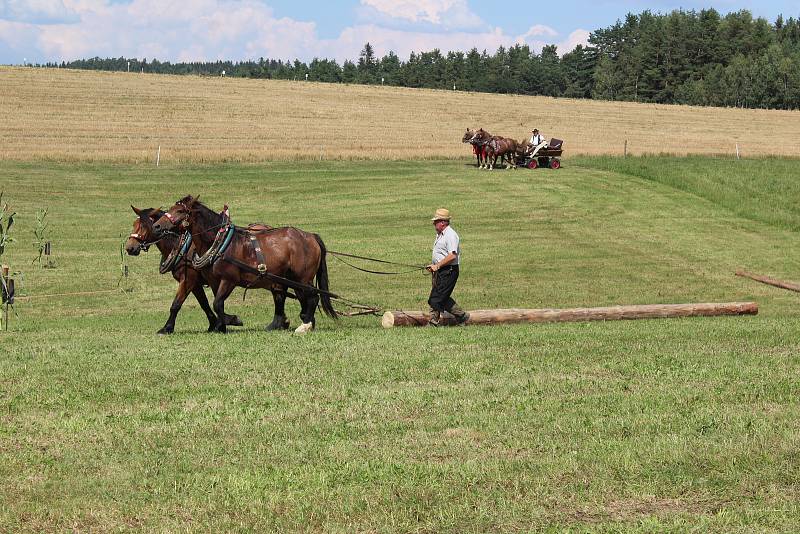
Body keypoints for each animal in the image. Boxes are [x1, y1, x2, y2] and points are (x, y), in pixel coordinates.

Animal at [125, 206, 242, 336]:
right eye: (134, 224)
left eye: (144, 226)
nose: (130, 248)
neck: (181, 247)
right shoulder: (195, 285)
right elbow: (204, 304)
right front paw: (214, 324)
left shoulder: (188, 280)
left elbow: (176, 304)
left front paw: (167, 327)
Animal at [152, 197, 336, 336]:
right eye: (171, 208)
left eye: (180, 211)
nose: (157, 226)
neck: (220, 243)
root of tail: (310, 236)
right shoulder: (214, 281)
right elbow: (216, 304)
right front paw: (220, 326)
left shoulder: (229, 280)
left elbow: (217, 304)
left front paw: (233, 320)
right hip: (292, 278)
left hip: (302, 278)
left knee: (313, 298)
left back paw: (304, 326)